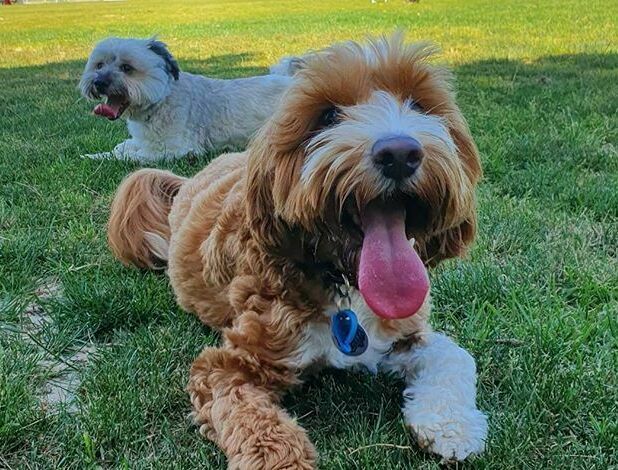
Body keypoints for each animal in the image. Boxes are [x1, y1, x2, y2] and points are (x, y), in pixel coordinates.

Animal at [79, 37, 292, 162]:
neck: (160, 102)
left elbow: (129, 156)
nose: (99, 82)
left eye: (126, 68)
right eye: (99, 65)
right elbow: (123, 146)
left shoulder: (173, 150)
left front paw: (98, 156)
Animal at [109, 35, 486, 468]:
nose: (399, 153)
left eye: (419, 105)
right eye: (328, 115)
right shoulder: (227, 366)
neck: (343, 285)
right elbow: (255, 422)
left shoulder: (403, 333)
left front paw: (451, 426)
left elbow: (455, 355)